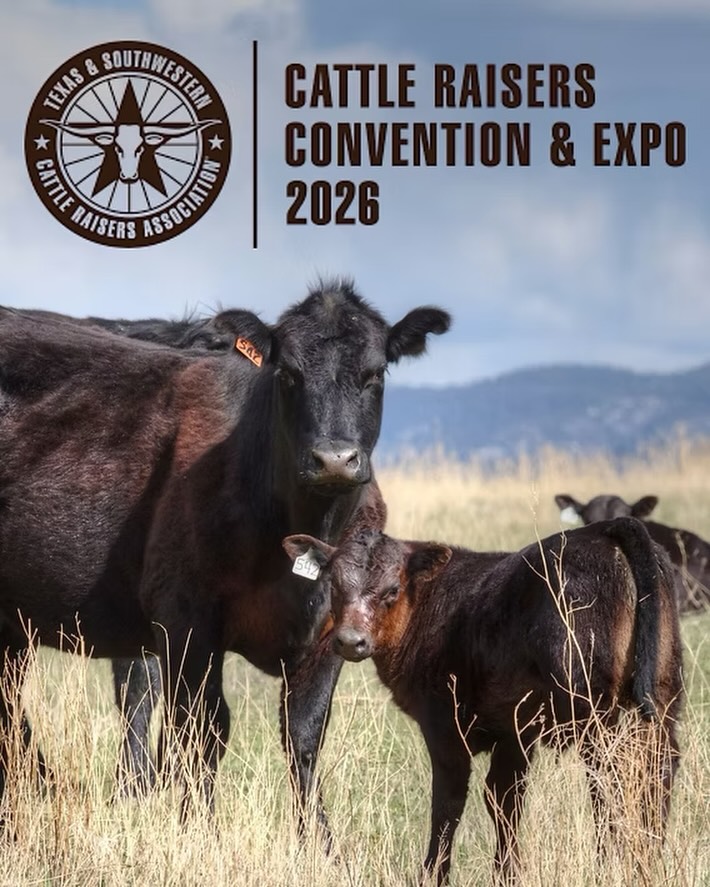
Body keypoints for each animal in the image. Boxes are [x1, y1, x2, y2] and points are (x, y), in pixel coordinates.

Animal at [0, 281, 449, 833]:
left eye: (375, 373)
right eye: (288, 373)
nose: (334, 460)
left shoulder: (333, 632)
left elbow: (303, 737)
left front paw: (319, 842)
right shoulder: (184, 618)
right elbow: (199, 730)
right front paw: (195, 829)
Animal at [283, 519, 683, 884]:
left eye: (392, 589)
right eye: (334, 586)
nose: (350, 641)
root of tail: (605, 529)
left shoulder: (444, 726)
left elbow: (448, 802)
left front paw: (433, 875)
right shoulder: (515, 731)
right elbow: (505, 798)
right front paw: (507, 873)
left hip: (593, 709)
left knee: (611, 778)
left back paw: (610, 865)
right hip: (661, 697)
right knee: (657, 771)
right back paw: (649, 861)